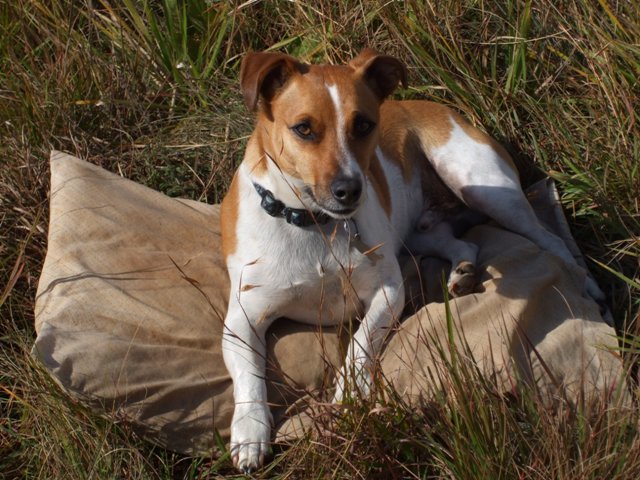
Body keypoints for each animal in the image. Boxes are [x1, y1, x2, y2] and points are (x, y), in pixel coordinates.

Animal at [220, 49, 604, 472]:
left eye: (364, 125)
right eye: (303, 129)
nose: (350, 190)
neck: (315, 223)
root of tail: (443, 109)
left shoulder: (389, 291)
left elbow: (359, 343)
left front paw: (349, 395)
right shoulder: (242, 318)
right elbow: (249, 374)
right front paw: (250, 431)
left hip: (484, 189)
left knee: (550, 240)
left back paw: (586, 283)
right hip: (420, 229)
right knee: (462, 244)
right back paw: (462, 274)